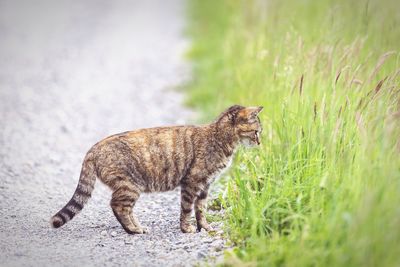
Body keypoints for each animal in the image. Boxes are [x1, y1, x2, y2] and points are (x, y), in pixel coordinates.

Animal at [50, 104, 262, 234]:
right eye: (256, 131)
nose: (260, 142)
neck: (220, 138)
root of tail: (93, 148)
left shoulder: (206, 186)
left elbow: (200, 210)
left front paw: (205, 227)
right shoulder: (192, 182)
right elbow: (187, 209)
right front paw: (187, 229)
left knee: (124, 208)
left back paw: (137, 227)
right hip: (129, 185)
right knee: (117, 205)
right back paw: (133, 230)